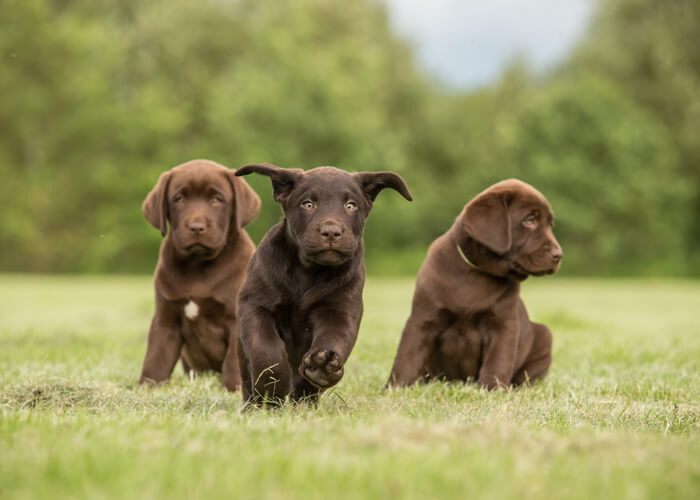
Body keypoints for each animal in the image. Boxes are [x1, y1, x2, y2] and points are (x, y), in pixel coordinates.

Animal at [139, 160, 260, 390]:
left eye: (217, 199)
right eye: (179, 199)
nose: (196, 227)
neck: (197, 264)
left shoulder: (235, 318)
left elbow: (233, 360)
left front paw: (234, 388)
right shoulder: (166, 319)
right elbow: (156, 357)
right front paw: (148, 387)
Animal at [237, 164, 410, 406]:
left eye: (350, 206)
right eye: (308, 204)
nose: (331, 232)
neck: (308, 270)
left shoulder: (339, 311)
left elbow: (334, 337)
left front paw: (322, 367)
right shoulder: (255, 305)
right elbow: (265, 348)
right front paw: (273, 388)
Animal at [386, 180, 560, 390]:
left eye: (550, 224)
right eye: (529, 220)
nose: (559, 255)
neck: (476, 272)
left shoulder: (504, 324)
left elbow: (497, 362)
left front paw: (492, 390)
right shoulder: (423, 319)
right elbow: (406, 358)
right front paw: (393, 389)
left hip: (544, 336)